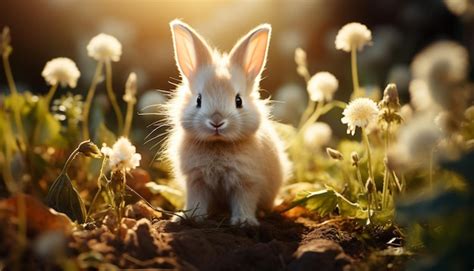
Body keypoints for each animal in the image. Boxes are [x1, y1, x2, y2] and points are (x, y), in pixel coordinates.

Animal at [165, 19, 292, 227]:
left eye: (238, 101)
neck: (218, 144)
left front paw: (243, 222)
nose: (216, 121)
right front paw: (190, 217)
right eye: (198, 100)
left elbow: (244, 201)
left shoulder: (247, 181)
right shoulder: (196, 181)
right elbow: (196, 201)